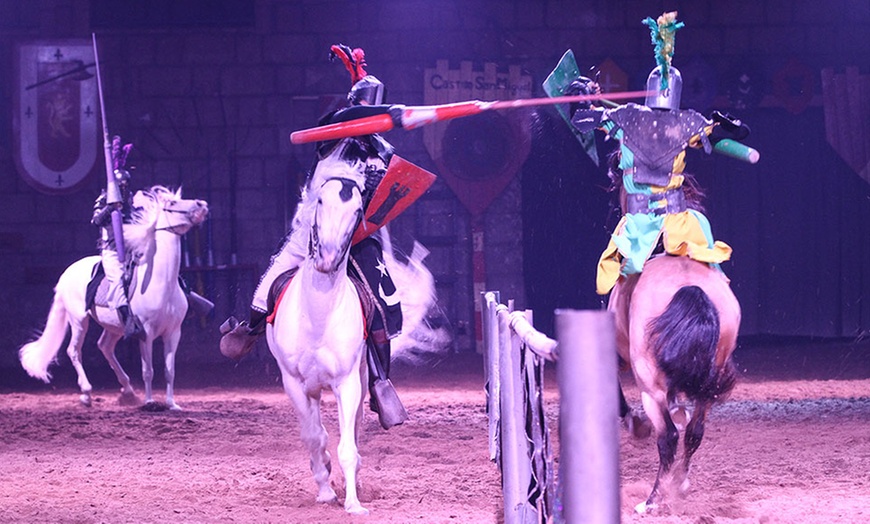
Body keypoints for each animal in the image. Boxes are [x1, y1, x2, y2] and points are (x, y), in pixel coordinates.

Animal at [19, 186, 210, 412]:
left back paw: (127, 391)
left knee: (105, 347)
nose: (201, 204)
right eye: (172, 204)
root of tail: (67, 272)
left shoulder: (173, 333)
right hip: (79, 321)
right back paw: (87, 394)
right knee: (74, 351)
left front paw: (172, 404)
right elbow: (148, 371)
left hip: (114, 326)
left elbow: (169, 371)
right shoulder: (145, 333)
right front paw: (150, 402)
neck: (162, 282)